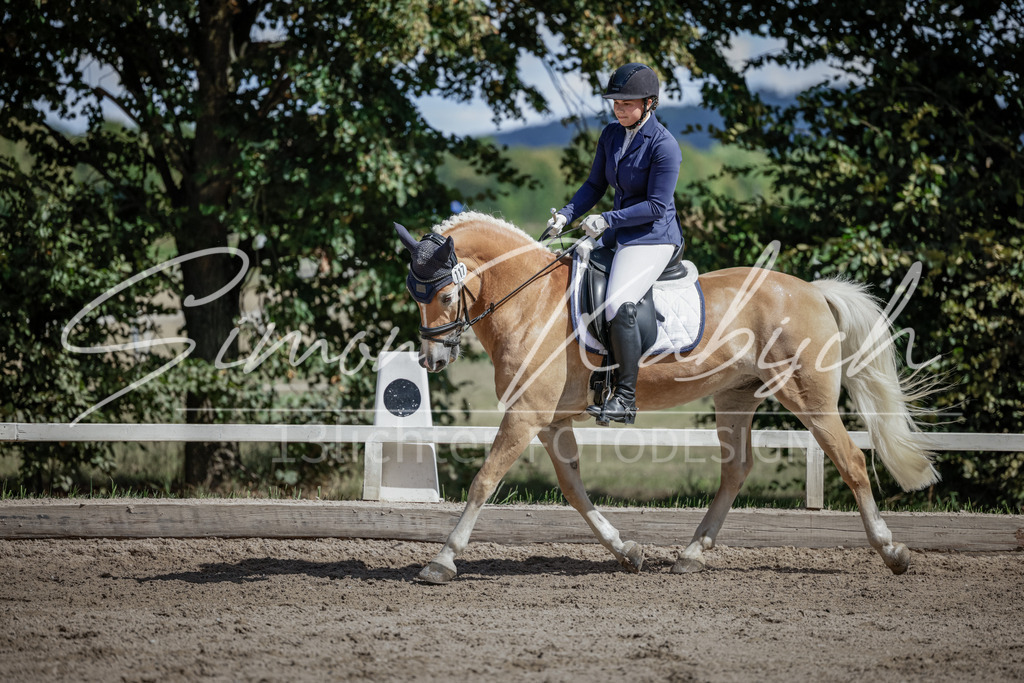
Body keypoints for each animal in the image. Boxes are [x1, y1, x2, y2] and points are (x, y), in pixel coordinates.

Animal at [394, 211, 938, 584]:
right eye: (414, 295)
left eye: (446, 295)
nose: (432, 362)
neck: (531, 301)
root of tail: (812, 290)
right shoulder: (550, 422)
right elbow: (573, 490)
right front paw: (627, 551)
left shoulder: (525, 416)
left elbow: (484, 481)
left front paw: (442, 560)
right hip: (736, 397)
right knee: (736, 471)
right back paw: (691, 554)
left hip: (808, 398)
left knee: (850, 460)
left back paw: (892, 552)